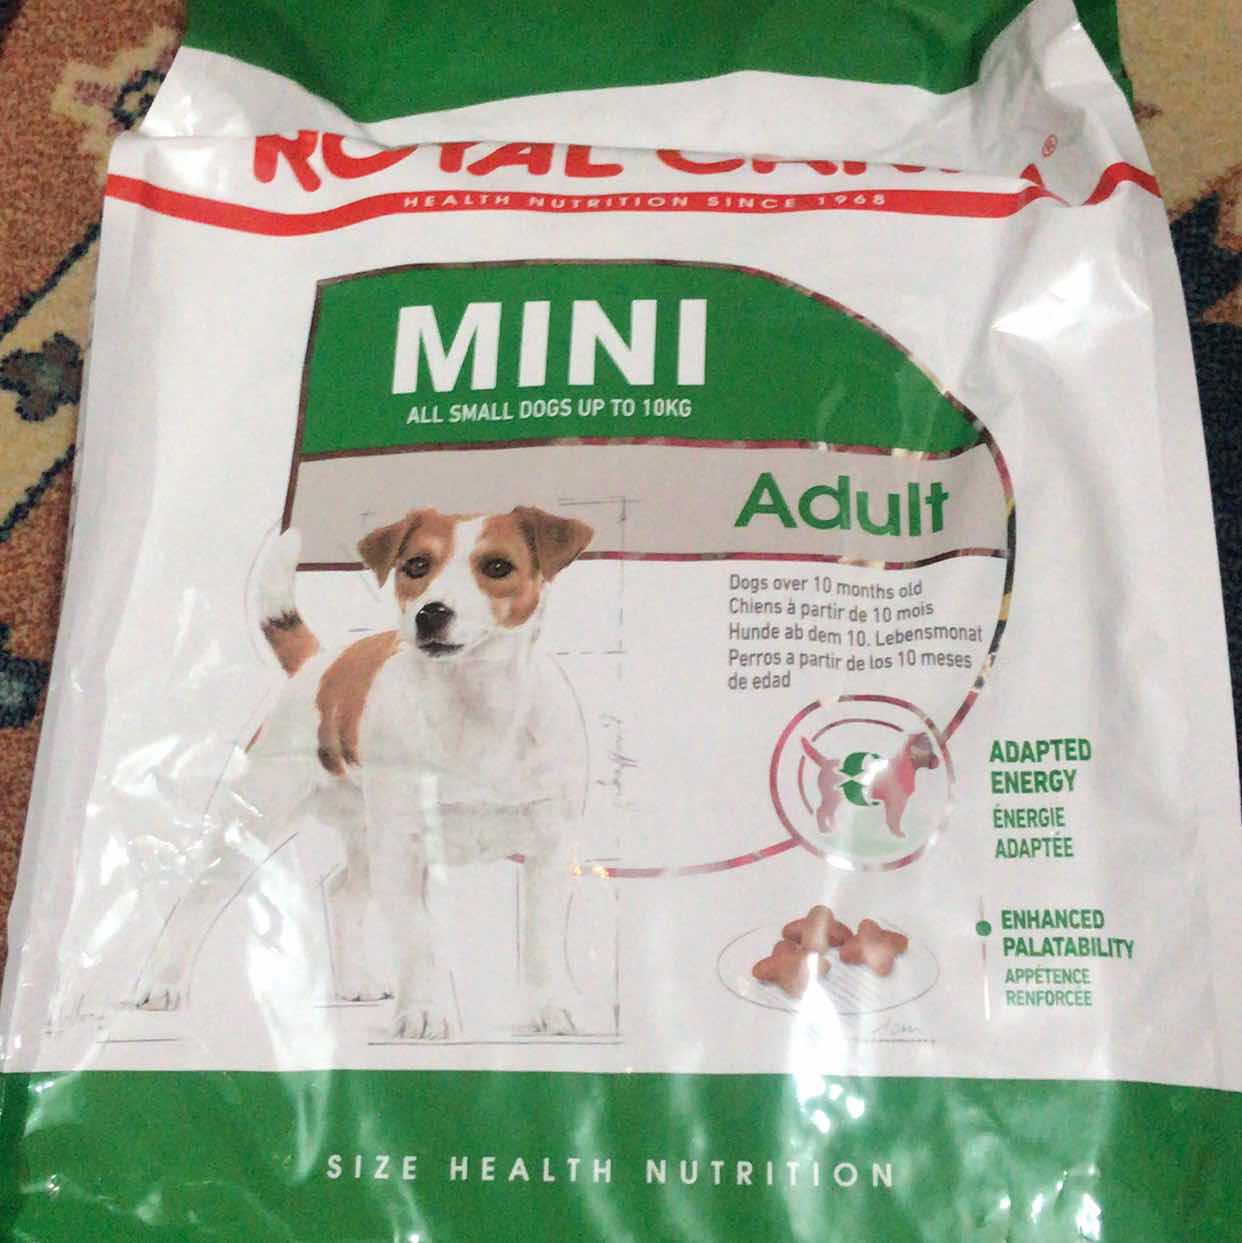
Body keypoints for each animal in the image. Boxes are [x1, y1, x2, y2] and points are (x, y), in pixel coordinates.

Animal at [131, 505, 594, 1039]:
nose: (431, 613)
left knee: (341, 891)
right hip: (258, 821)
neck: (475, 708)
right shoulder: (404, 852)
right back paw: (161, 983)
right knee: (197, 897)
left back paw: (356, 981)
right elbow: (417, 938)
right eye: (416, 565)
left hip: (366, 836)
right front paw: (425, 1012)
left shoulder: (549, 850)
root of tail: (317, 665)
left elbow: (541, 939)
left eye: (498, 567)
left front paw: (551, 1008)